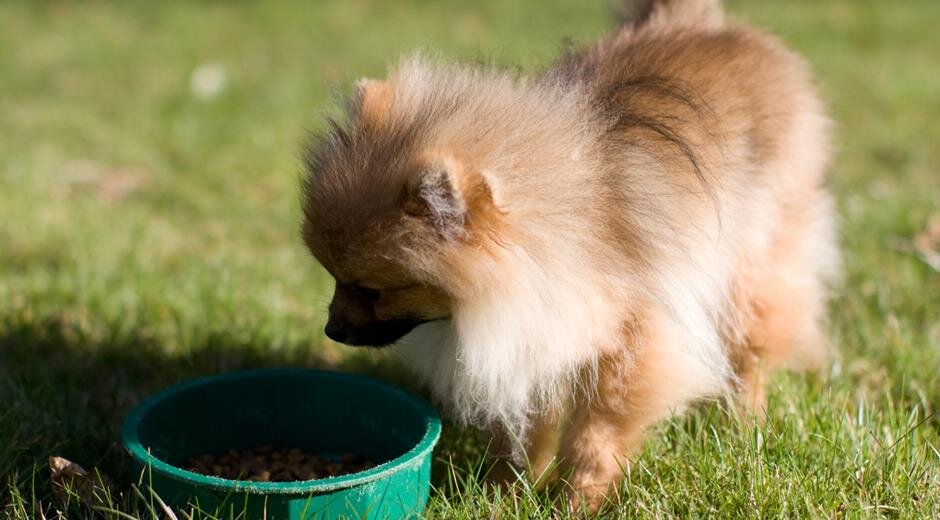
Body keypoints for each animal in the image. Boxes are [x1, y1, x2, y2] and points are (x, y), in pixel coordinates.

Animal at [300, 0, 836, 512]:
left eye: (373, 290)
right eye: (332, 277)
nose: (331, 329)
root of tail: (697, 24)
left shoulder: (627, 344)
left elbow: (595, 438)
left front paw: (578, 501)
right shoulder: (531, 333)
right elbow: (520, 434)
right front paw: (504, 495)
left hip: (755, 265)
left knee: (752, 351)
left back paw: (744, 423)